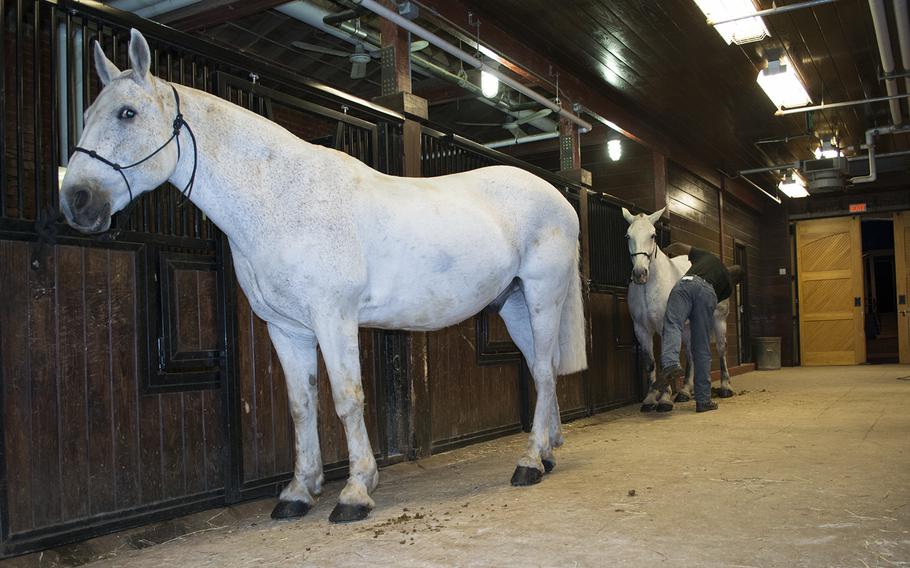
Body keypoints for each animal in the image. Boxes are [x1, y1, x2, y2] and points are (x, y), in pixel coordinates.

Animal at [60, 30, 588, 524]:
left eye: (127, 113)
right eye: (85, 114)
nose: (76, 201)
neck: (281, 199)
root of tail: (560, 200)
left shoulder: (334, 318)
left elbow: (347, 398)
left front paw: (355, 492)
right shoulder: (287, 328)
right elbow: (301, 405)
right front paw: (299, 491)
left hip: (542, 296)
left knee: (543, 372)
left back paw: (528, 463)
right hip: (514, 304)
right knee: (540, 370)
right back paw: (545, 452)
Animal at [624, 206, 736, 410]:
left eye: (653, 235)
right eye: (628, 236)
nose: (640, 273)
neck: (648, 289)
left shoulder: (665, 326)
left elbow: (664, 359)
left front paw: (665, 399)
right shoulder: (641, 329)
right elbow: (650, 363)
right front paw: (650, 398)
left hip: (719, 321)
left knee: (721, 349)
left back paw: (725, 387)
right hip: (687, 327)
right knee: (691, 354)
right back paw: (684, 391)